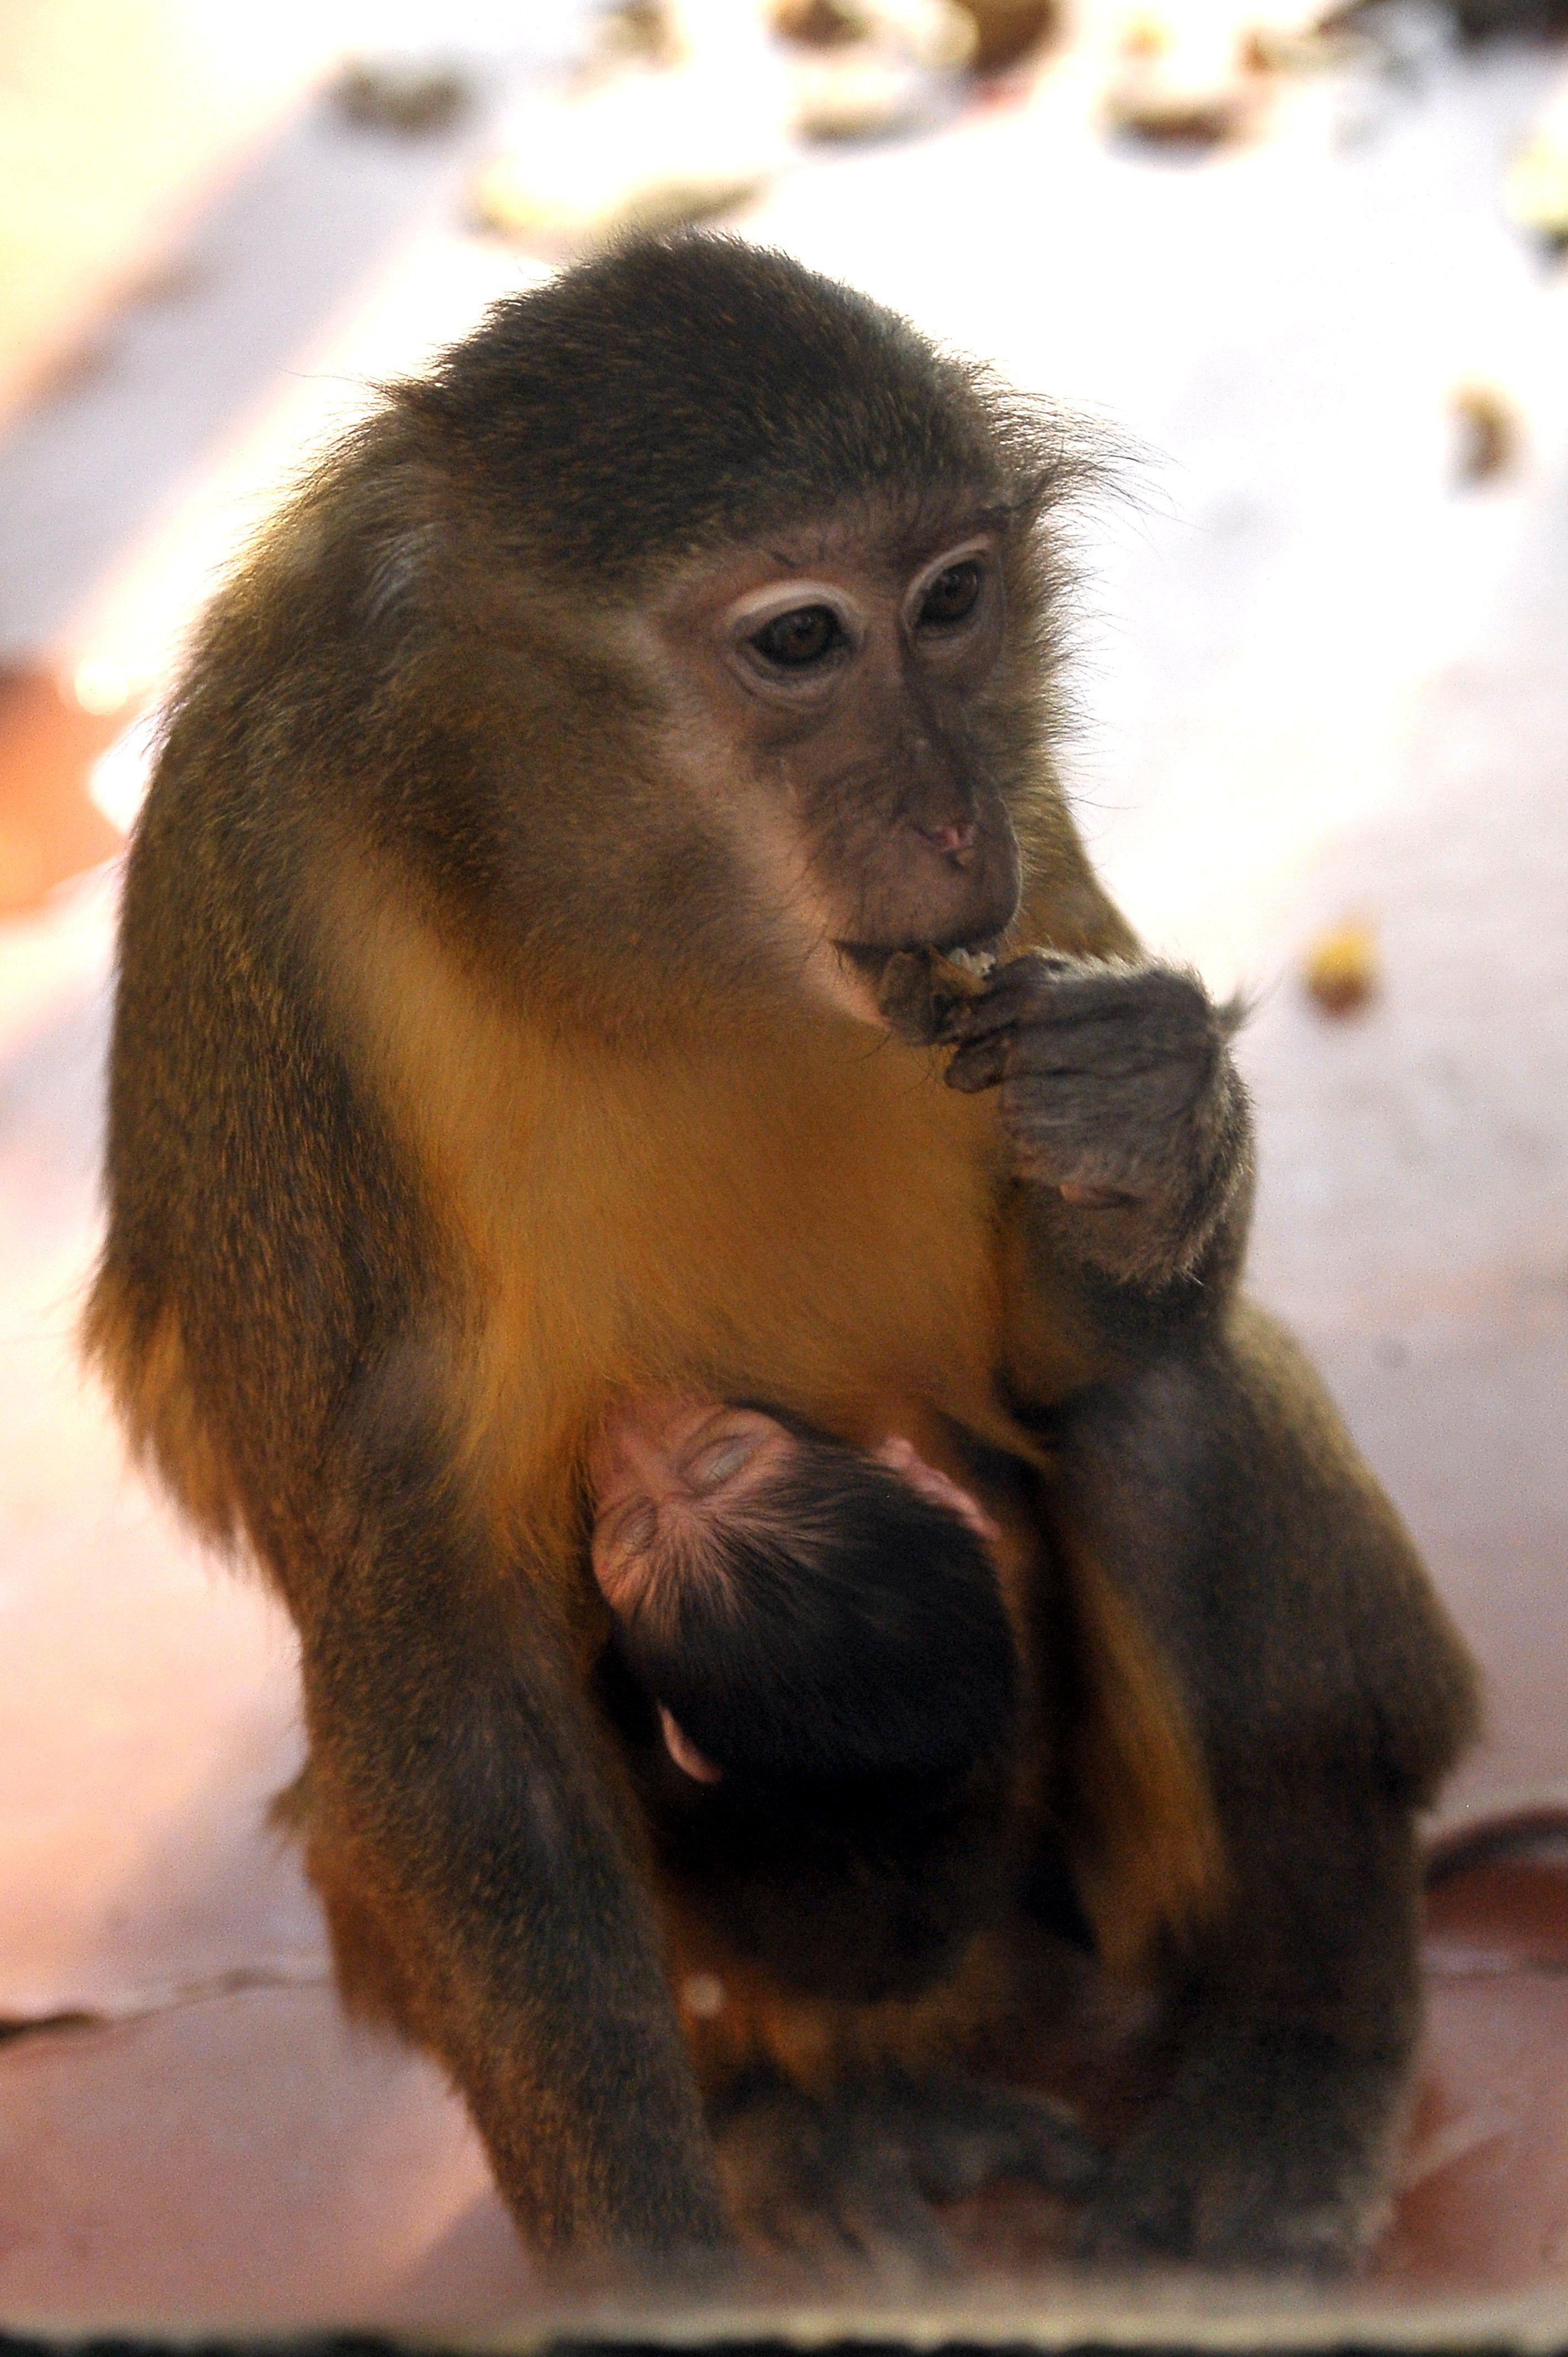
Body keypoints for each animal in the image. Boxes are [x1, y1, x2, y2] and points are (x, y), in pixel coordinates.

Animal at [85, 233, 1479, 2286]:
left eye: (955, 603)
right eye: (803, 643)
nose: (949, 813)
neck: (596, 920)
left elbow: (1089, 1345)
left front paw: (1145, 1132)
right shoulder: (256, 890)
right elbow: (441, 1651)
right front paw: (659, 2258)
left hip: (1096, 1875)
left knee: (1162, 1403)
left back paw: (1307, 2036)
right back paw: (794, 2116)